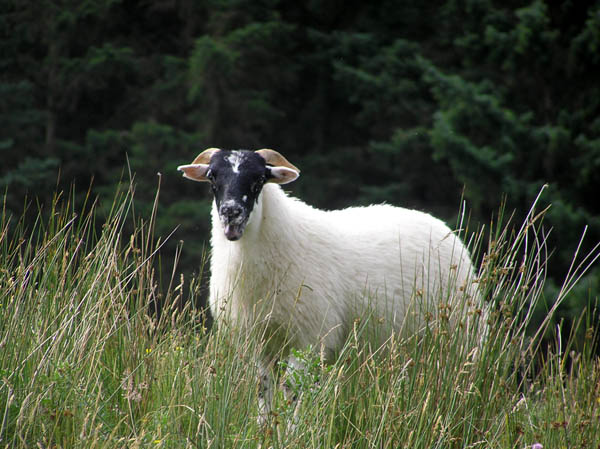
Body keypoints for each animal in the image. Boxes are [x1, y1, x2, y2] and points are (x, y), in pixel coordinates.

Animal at [177, 149, 482, 426]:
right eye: (212, 177)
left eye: (259, 179)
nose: (231, 212)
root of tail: (440, 225)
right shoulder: (261, 343)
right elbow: (264, 390)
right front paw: (264, 432)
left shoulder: (311, 337)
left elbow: (293, 392)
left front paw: (293, 434)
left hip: (460, 337)